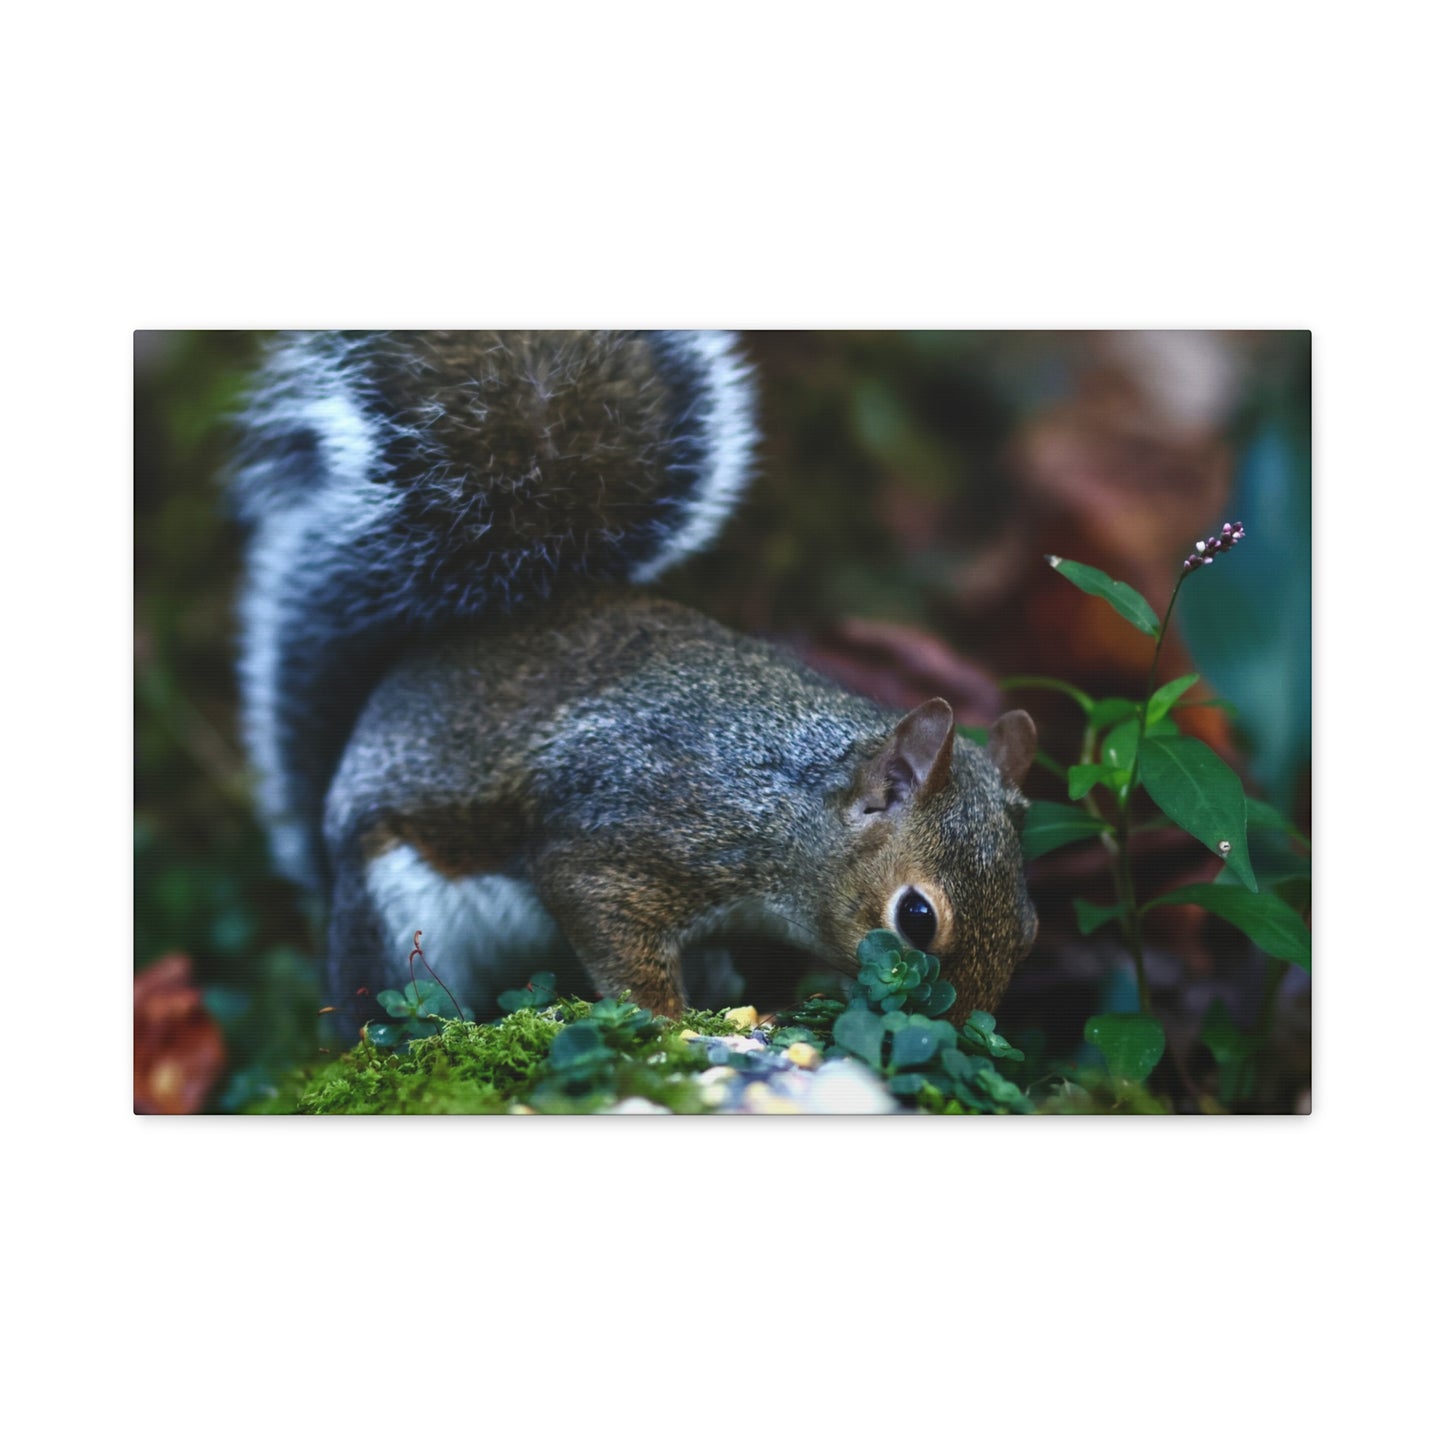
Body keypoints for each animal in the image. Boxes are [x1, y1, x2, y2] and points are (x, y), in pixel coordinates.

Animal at [231, 330, 1039, 1034]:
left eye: (1030, 925)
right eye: (916, 917)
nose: (964, 1027)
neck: (791, 804)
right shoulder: (636, 833)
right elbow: (603, 919)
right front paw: (666, 1021)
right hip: (396, 912)